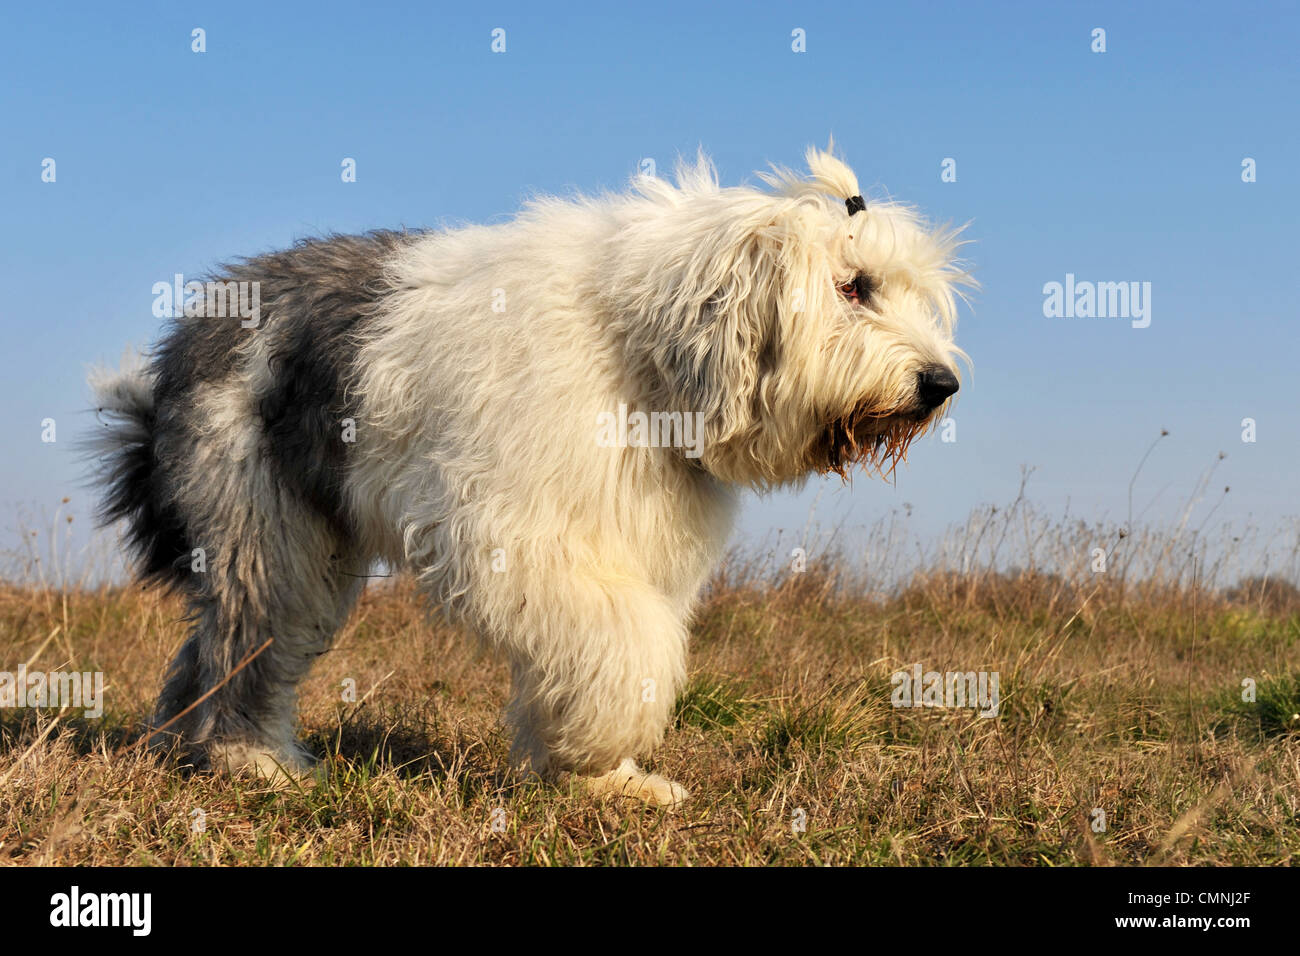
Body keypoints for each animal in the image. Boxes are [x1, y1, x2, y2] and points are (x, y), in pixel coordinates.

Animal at [89, 147, 967, 806]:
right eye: (854, 287)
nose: (940, 384)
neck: (638, 350)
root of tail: (187, 335)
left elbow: (624, 642)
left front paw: (607, 780)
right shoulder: (519, 530)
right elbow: (622, 639)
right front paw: (597, 752)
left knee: (212, 644)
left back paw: (180, 746)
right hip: (265, 522)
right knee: (250, 636)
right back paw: (253, 762)